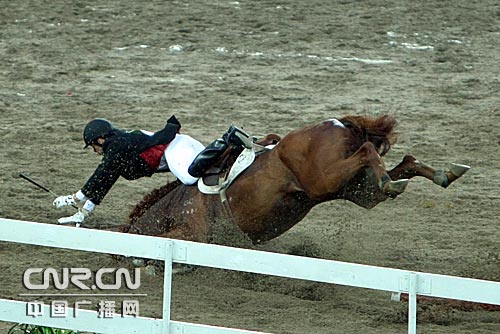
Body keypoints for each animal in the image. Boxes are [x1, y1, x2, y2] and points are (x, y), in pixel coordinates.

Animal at [124, 116, 468, 244]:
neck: (173, 209)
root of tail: (339, 124)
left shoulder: (193, 233)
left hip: (325, 180)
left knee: (369, 150)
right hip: (356, 190)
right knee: (402, 165)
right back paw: (442, 173)